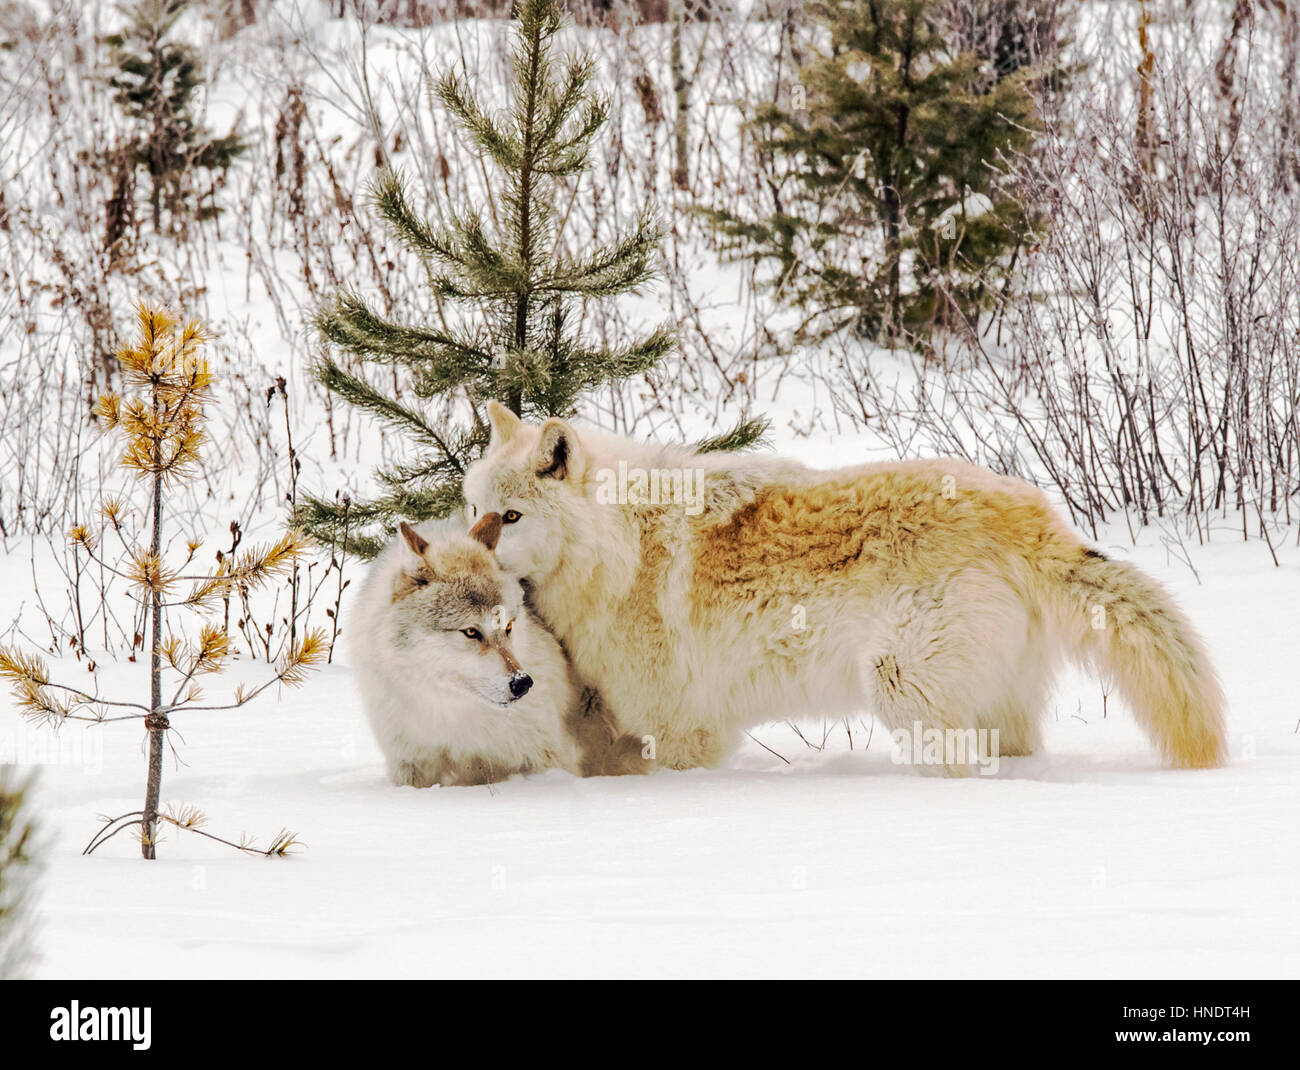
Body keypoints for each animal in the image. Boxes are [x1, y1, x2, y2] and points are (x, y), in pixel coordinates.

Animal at [345, 512, 639, 785]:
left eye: (508, 626)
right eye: (471, 632)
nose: (523, 683)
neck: (457, 713)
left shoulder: (545, 757)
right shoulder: (411, 765)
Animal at [465, 400, 1227, 780]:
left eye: (511, 517)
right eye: (474, 506)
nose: (468, 554)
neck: (618, 546)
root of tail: (1034, 518)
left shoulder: (681, 729)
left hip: (904, 690)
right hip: (998, 711)